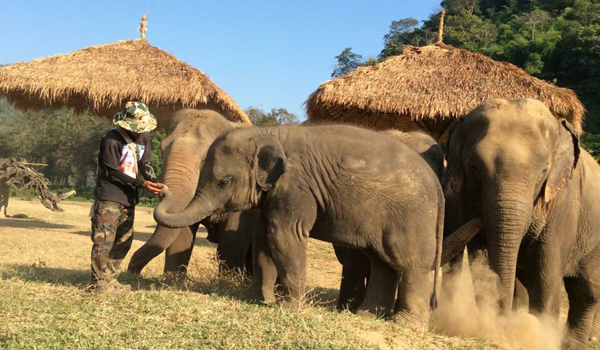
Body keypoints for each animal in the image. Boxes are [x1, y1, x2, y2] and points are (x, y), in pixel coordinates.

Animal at [126, 109, 258, 276]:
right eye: (162, 149)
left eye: (205, 157)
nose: (131, 271)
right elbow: (181, 232)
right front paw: (172, 278)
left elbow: (232, 241)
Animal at [155, 123, 450, 328]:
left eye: (223, 182)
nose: (160, 188)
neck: (267, 132)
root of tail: (438, 186)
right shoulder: (275, 194)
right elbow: (264, 239)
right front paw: (257, 299)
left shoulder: (295, 187)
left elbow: (284, 235)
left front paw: (286, 307)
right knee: (382, 262)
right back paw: (366, 316)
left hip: (411, 216)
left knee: (409, 264)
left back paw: (407, 325)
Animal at [446, 98, 600, 350]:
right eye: (475, 167)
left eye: (544, 170)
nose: (502, 326)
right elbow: (483, 257)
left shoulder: (564, 202)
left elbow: (547, 271)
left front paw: (542, 337)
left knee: (585, 291)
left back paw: (576, 344)